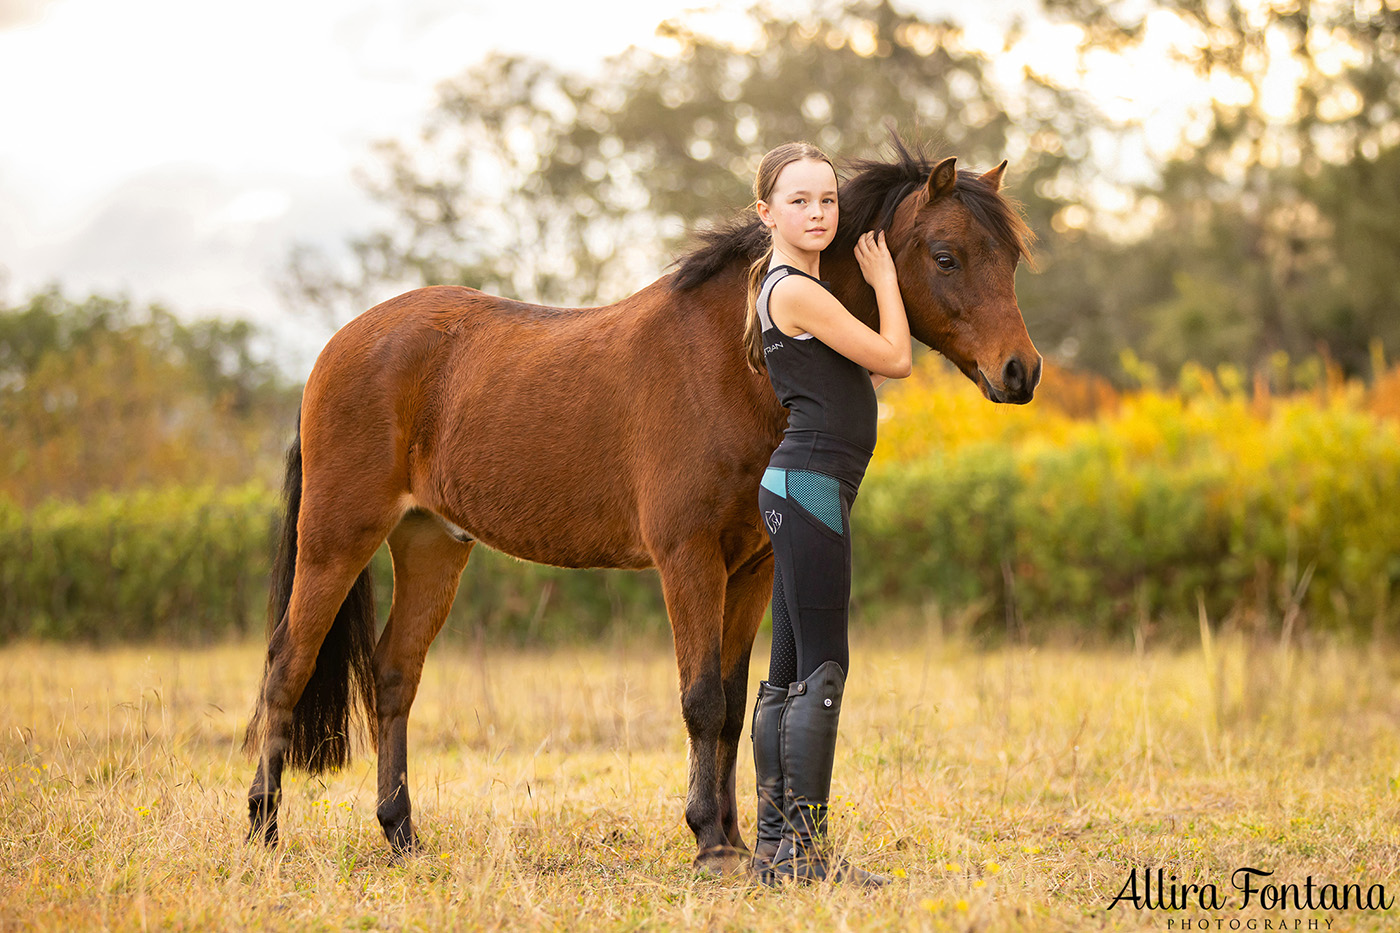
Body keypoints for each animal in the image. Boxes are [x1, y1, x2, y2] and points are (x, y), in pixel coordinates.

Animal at [240, 136, 1041, 862]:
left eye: (1009, 258)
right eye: (946, 255)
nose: (1021, 371)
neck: (730, 360)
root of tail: (336, 346)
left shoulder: (753, 567)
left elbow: (734, 703)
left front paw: (737, 840)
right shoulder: (688, 557)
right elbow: (701, 698)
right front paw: (709, 842)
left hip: (431, 544)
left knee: (394, 675)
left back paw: (401, 834)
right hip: (337, 538)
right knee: (287, 665)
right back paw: (263, 830)